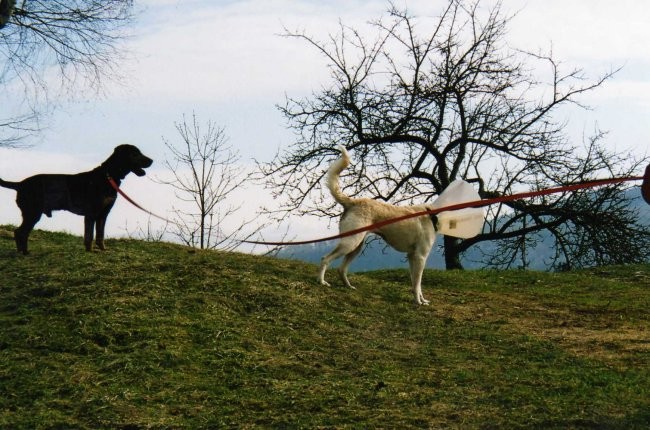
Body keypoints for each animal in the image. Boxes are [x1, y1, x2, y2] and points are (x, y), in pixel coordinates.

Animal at [0, 144, 153, 254]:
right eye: (135, 153)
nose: (151, 160)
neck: (108, 176)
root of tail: (20, 184)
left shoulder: (103, 214)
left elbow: (100, 235)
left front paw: (103, 249)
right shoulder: (91, 214)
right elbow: (89, 235)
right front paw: (90, 251)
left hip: (31, 213)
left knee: (21, 232)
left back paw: (22, 251)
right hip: (32, 213)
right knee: (20, 232)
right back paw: (24, 252)